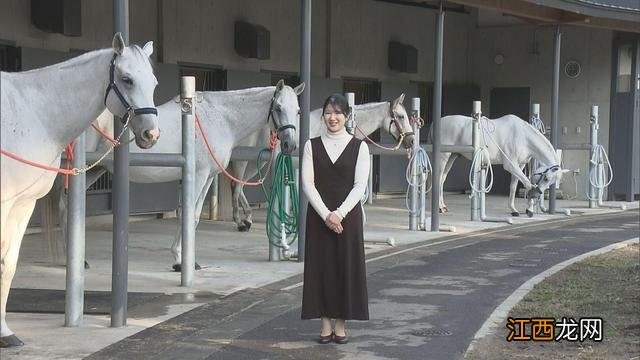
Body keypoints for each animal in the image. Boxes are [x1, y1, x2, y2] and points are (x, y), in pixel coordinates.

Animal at [0, 33, 160, 346]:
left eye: (154, 82)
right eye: (127, 79)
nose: (151, 134)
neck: (33, 114)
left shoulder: (23, 205)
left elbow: (8, 266)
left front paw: (6, 334)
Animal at [230, 94, 416, 231]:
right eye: (401, 116)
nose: (412, 140)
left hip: (256, 162)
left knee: (240, 185)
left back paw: (247, 219)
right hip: (243, 161)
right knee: (237, 186)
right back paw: (240, 221)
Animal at [436, 115, 564, 217]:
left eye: (551, 182)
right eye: (546, 178)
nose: (537, 194)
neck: (523, 137)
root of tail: (437, 123)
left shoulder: (520, 165)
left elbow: (513, 187)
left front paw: (516, 210)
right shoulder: (510, 165)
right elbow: (528, 184)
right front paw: (529, 209)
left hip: (452, 156)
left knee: (442, 180)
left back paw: (443, 207)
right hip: (443, 157)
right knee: (438, 179)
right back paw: (439, 208)